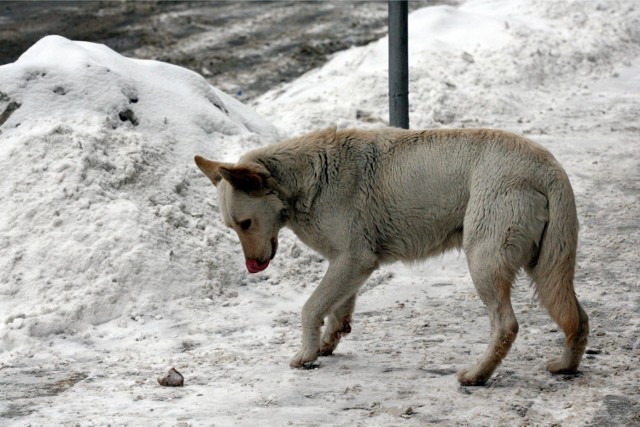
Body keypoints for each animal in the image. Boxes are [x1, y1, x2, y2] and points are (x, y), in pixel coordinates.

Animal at [195, 127, 592, 388]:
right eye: (232, 227)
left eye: (245, 223)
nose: (253, 267)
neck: (307, 180)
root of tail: (549, 168)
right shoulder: (351, 265)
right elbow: (338, 310)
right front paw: (326, 343)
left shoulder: (352, 259)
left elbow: (310, 308)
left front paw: (306, 354)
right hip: (547, 268)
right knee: (579, 318)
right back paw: (566, 365)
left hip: (484, 262)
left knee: (507, 326)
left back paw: (477, 375)